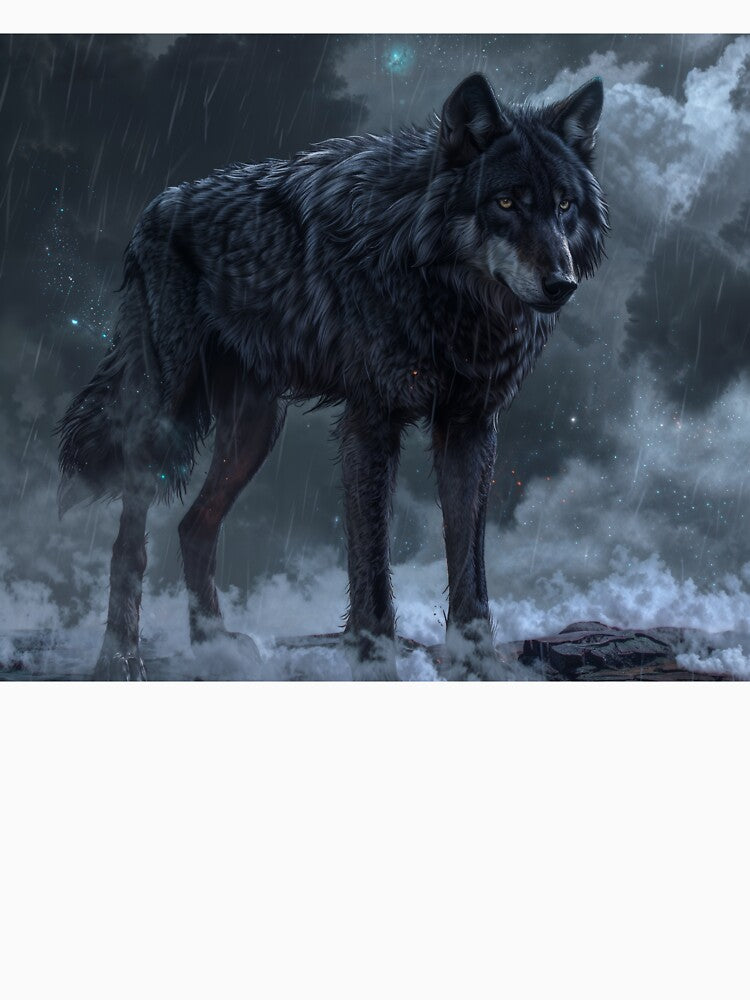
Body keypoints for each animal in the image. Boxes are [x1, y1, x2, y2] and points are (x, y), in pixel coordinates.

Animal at [57, 73, 608, 681]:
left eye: (564, 205)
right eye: (506, 202)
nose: (562, 283)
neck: (444, 294)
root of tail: (150, 209)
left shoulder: (468, 427)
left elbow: (471, 572)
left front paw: (479, 666)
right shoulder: (371, 423)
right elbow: (372, 568)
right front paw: (375, 664)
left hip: (256, 430)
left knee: (194, 525)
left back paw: (215, 646)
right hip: (166, 420)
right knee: (129, 542)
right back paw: (120, 656)